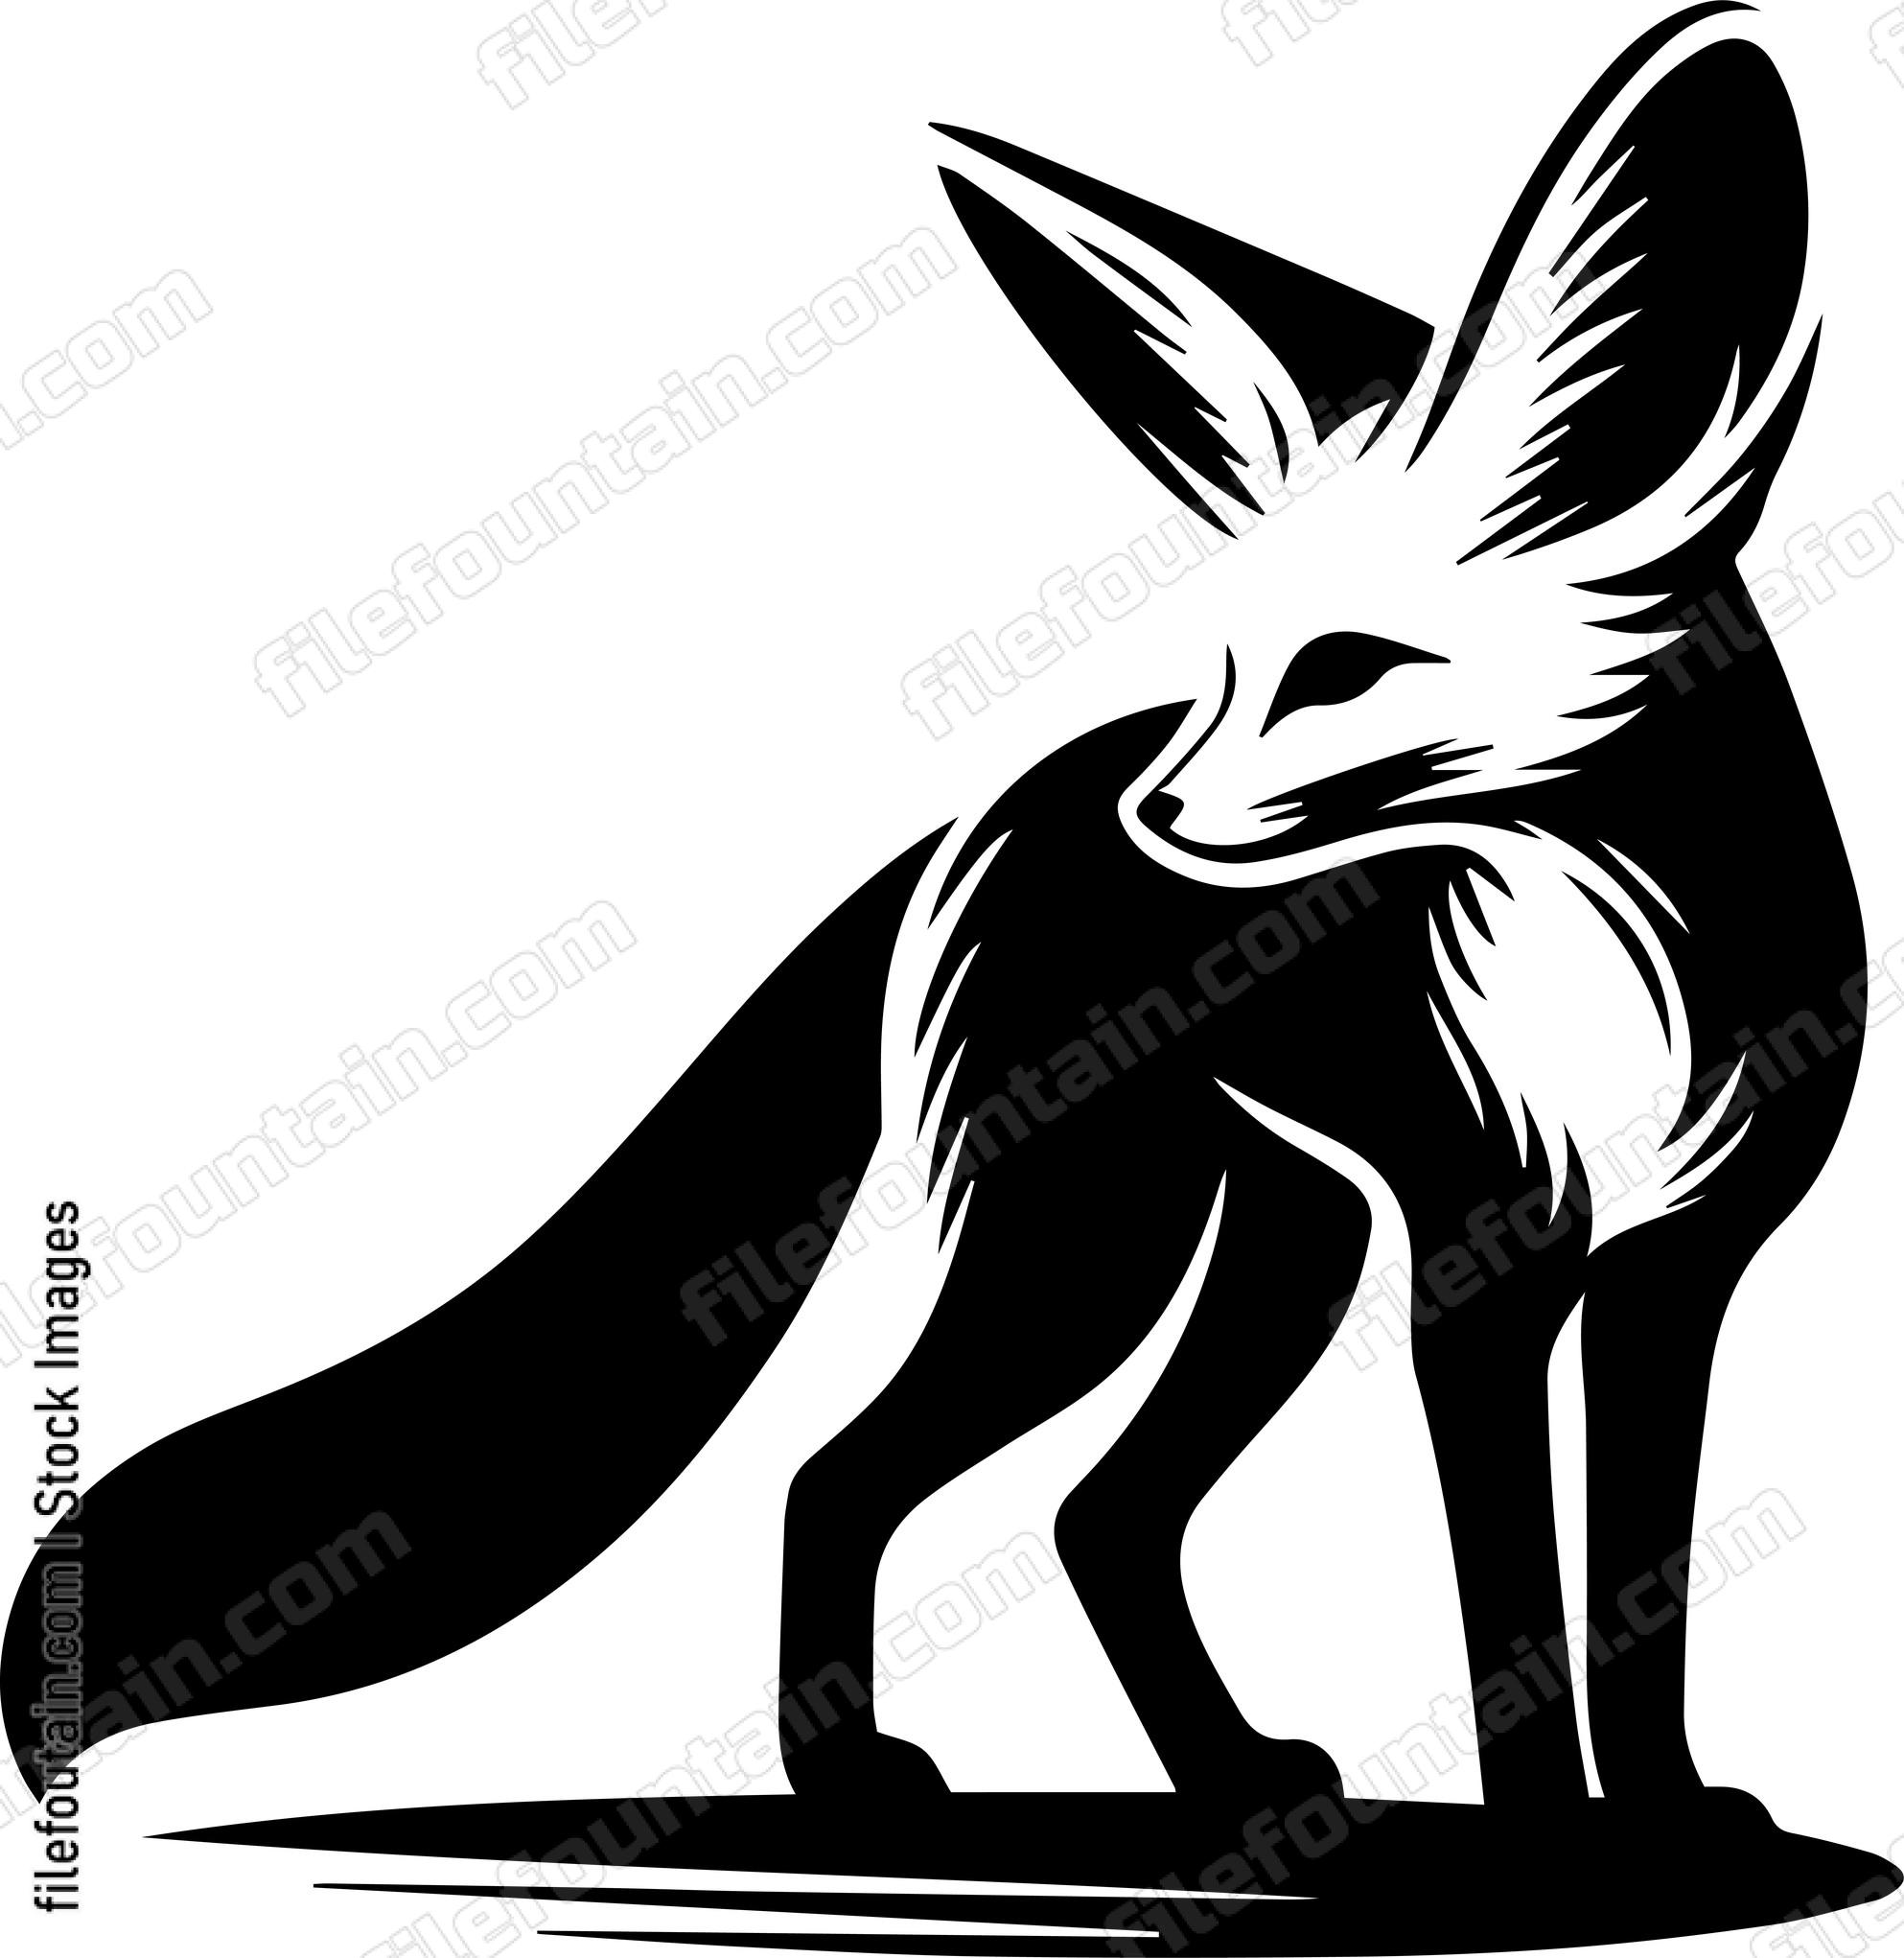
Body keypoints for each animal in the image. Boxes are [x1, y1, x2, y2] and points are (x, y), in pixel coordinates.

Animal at [1, 3, 1873, 1841]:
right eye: (1224, 665)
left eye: (1346, 668)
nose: (1158, 819)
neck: (1627, 964)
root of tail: (992, 809)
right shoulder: (1492, 1255)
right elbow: (1512, 1600)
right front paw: (1553, 1828)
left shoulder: (1672, 1266)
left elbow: (1639, 1577)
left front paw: (1668, 1809)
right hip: (1099, 1242)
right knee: (850, 1470)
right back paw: (855, 1769)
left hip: (1264, 1234)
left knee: (1096, 1513)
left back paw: (1224, 1774)